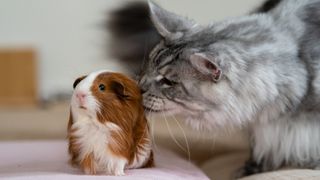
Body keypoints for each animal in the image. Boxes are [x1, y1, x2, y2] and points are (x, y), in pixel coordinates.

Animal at [106, 0, 320, 177]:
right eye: (149, 65)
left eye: (168, 81)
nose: (139, 88)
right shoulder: (262, 127)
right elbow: (264, 146)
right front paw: (251, 168)